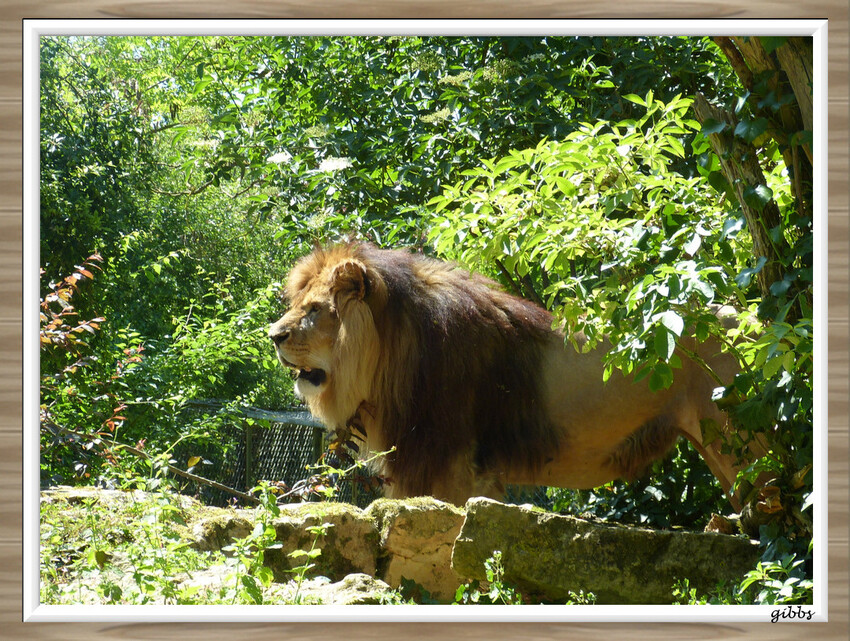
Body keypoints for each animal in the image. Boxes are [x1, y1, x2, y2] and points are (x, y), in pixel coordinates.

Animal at [268, 240, 760, 510]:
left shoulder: (449, 464)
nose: (273, 335)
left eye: (315, 311)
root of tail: (750, 318)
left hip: (739, 440)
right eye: (298, 306)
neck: (387, 357)